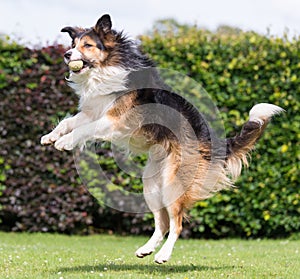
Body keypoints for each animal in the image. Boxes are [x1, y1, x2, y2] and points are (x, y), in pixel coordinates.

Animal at [41, 14, 284, 264]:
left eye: (87, 45)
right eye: (73, 44)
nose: (66, 54)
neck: (108, 68)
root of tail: (210, 143)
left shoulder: (114, 121)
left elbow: (84, 130)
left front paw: (64, 142)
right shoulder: (94, 112)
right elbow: (69, 123)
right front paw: (50, 137)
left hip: (172, 183)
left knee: (177, 224)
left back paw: (163, 255)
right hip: (151, 184)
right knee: (162, 223)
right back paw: (146, 249)